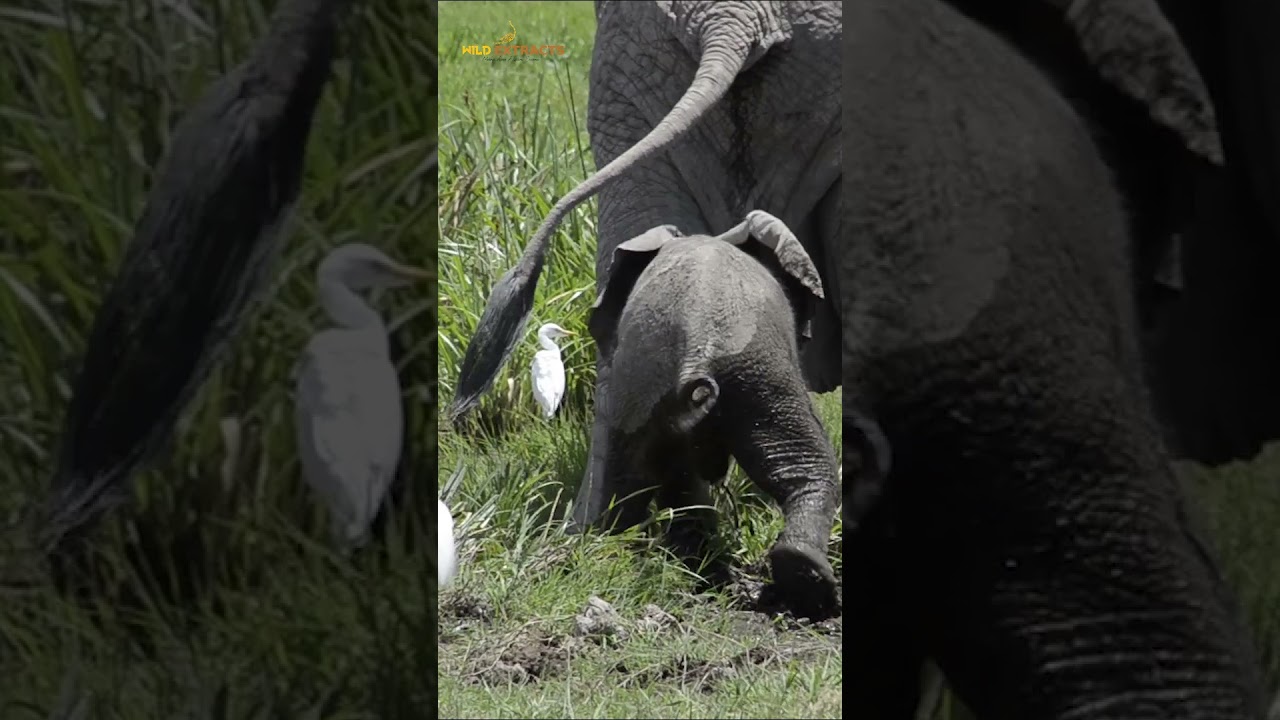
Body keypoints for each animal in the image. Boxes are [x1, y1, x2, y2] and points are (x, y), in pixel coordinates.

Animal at [589, 211, 840, 618]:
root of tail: (698, 350)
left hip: (641, 391)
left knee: (633, 482)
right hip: (759, 372)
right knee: (805, 463)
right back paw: (811, 589)